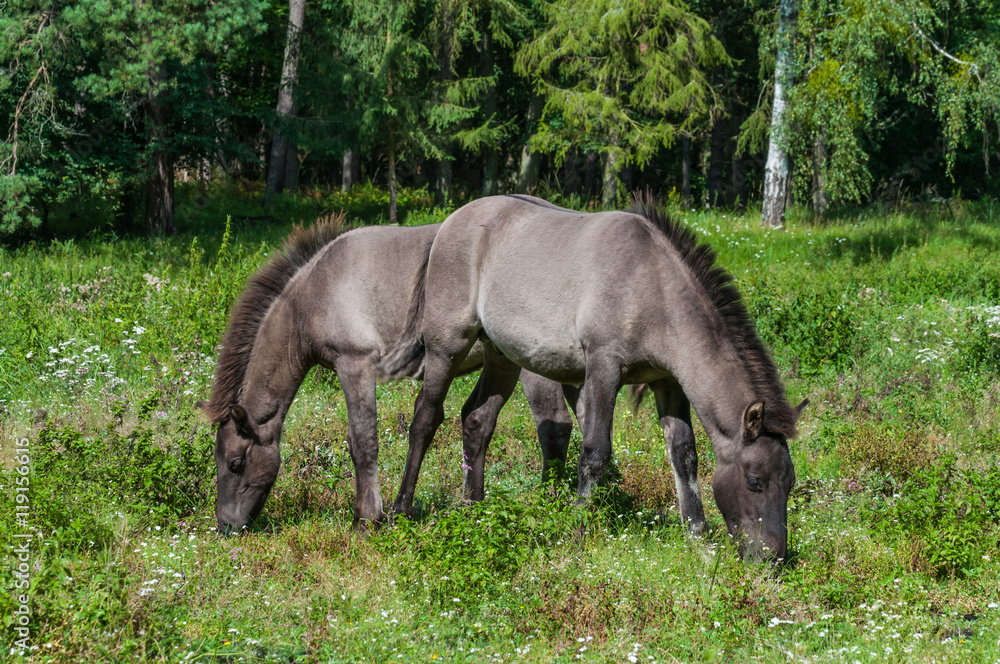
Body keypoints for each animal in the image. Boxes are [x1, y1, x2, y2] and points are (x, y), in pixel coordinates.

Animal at [198, 218, 576, 536]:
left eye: (235, 463)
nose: (226, 525)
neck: (313, 295)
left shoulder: (355, 363)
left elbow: (363, 442)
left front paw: (366, 519)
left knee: (555, 424)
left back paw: (549, 503)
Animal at [380, 193, 804, 560]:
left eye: (789, 482)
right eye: (754, 481)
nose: (772, 558)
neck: (652, 286)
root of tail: (448, 224)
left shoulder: (667, 382)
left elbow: (684, 455)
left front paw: (697, 539)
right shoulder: (603, 368)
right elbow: (595, 453)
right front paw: (577, 533)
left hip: (502, 357)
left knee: (477, 420)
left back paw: (474, 509)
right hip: (447, 347)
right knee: (425, 420)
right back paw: (401, 510)